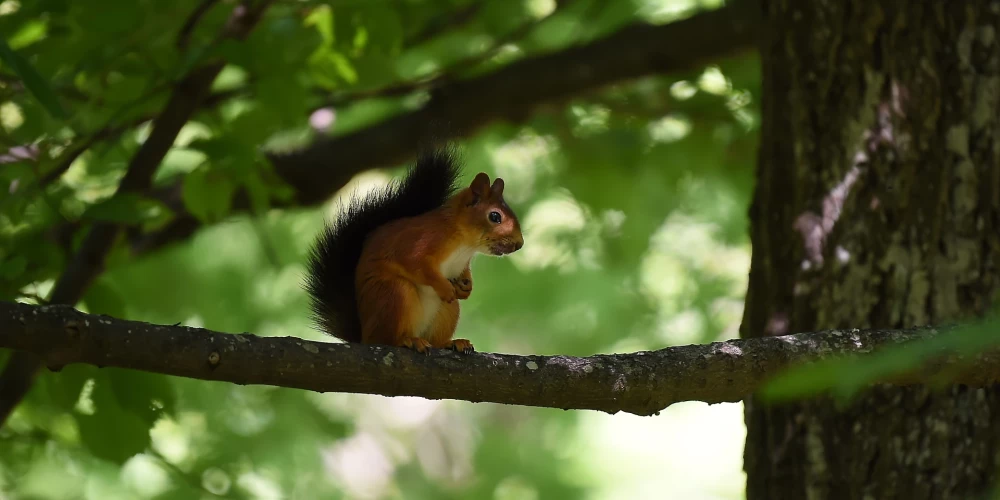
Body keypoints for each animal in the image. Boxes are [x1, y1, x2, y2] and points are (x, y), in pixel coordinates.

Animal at [302, 147, 524, 356]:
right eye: (495, 216)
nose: (519, 244)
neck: (465, 244)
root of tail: (365, 337)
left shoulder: (462, 263)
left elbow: (463, 274)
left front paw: (466, 287)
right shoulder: (417, 243)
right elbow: (417, 265)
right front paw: (444, 287)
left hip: (447, 310)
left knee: (436, 338)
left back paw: (451, 343)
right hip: (394, 295)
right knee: (388, 337)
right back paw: (407, 340)